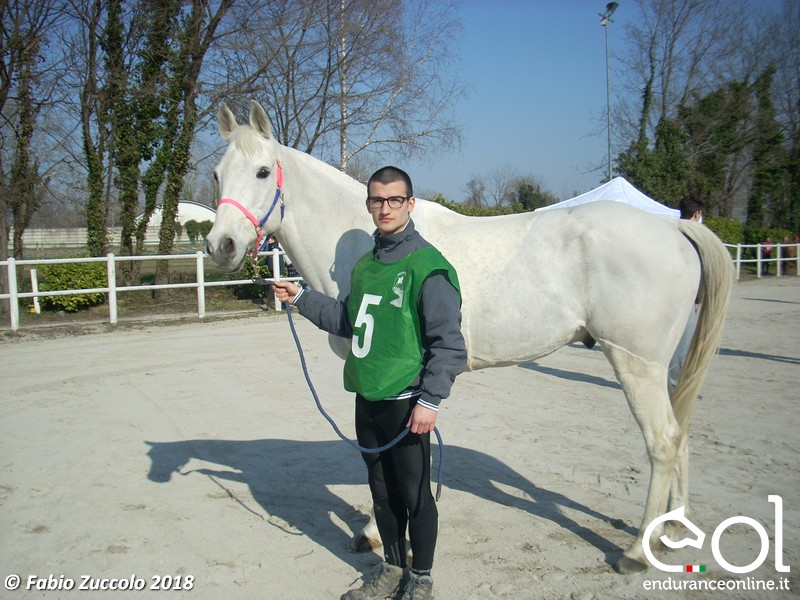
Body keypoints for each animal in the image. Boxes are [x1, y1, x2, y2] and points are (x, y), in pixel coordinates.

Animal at [205, 100, 733, 574]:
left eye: (262, 171)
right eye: (215, 174)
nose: (220, 246)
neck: (365, 242)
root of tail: (674, 229)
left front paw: (376, 533)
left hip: (636, 364)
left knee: (664, 441)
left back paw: (637, 552)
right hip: (664, 368)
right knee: (682, 435)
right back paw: (672, 529)